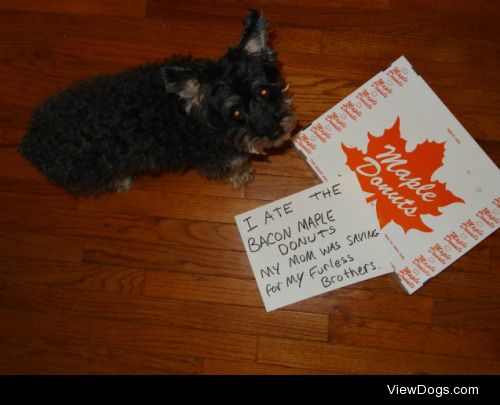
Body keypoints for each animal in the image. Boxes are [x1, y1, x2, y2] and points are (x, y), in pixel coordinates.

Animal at [20, 9, 296, 193]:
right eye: (236, 113)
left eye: (263, 92)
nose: (274, 131)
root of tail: (31, 143)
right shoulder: (217, 157)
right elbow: (232, 166)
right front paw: (242, 175)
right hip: (93, 169)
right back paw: (120, 181)